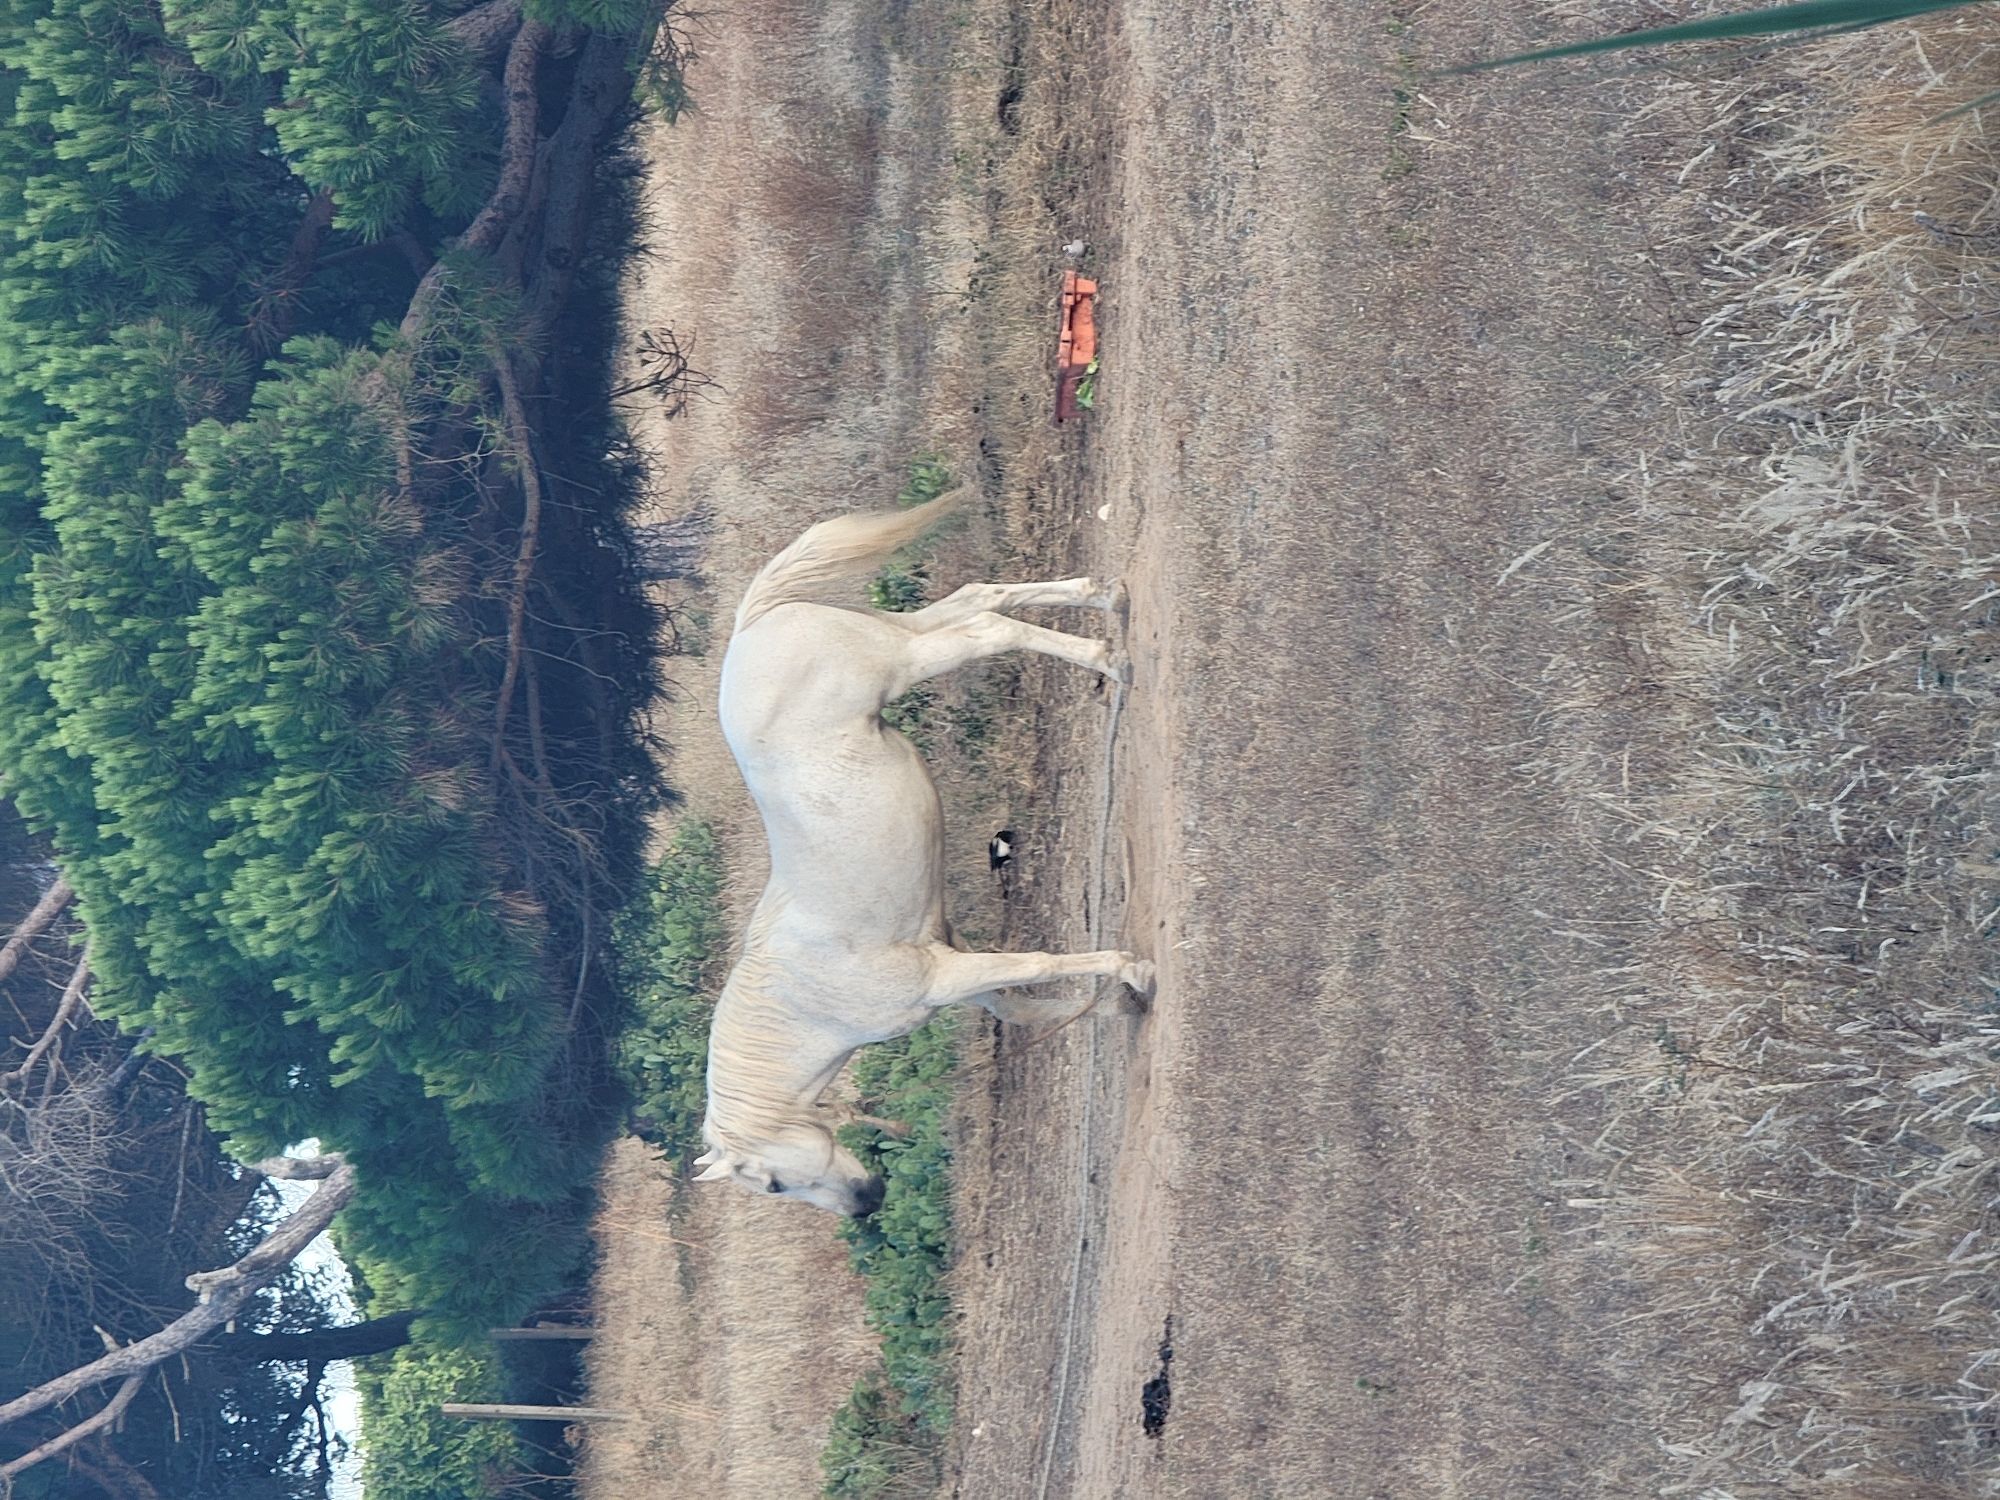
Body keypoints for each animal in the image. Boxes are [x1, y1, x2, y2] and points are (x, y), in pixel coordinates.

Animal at [690, 493, 1155, 1216]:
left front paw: (1134, 970)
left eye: (772, 1181)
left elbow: (1041, 963)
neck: (808, 995)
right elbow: (1030, 1005)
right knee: (978, 600)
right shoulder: (963, 972)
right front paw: (1118, 1006)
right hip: (899, 632)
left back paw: (1111, 659)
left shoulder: (947, 974)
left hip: (900, 660)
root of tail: (752, 623)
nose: (866, 1203)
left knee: (985, 631)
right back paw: (1105, 599)